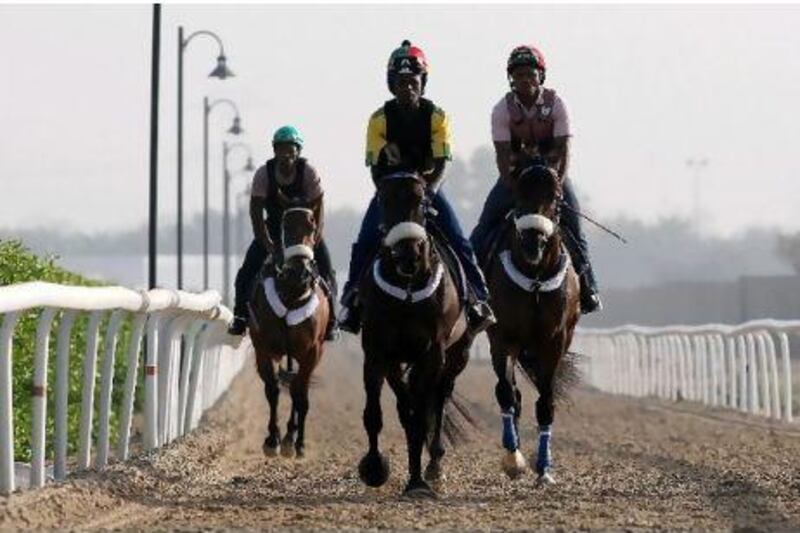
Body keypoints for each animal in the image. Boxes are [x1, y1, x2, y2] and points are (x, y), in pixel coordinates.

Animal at [247, 207, 328, 458]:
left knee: (296, 387)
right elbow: (273, 390)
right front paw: (272, 439)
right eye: (284, 226)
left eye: (312, 226)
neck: (292, 295)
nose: (298, 272)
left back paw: (292, 437)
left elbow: (300, 394)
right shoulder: (265, 349)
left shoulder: (312, 352)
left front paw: (299, 443)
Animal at [358, 171, 476, 498]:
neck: (408, 290)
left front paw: (417, 483)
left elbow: (422, 413)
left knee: (441, 397)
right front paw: (374, 467)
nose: (408, 254)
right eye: (384, 201)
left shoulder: (432, 353)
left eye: (422, 202)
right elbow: (378, 414)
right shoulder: (379, 352)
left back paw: (434, 465)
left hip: (458, 353)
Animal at [484, 162, 580, 482]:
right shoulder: (503, 337)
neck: (535, 278)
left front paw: (544, 469)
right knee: (511, 393)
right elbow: (506, 393)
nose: (532, 244)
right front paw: (514, 460)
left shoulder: (553, 342)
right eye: (518, 196)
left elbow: (546, 402)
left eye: (556, 198)